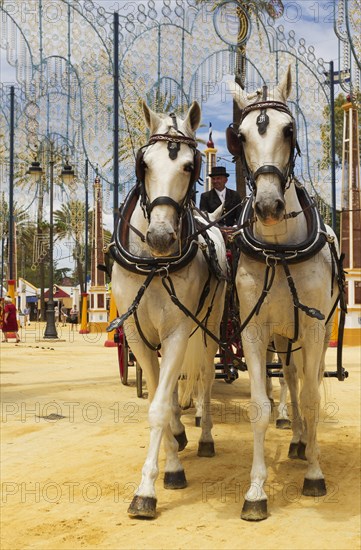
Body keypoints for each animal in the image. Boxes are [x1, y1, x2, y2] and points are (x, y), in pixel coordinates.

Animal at [110, 101, 225, 520]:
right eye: (144, 164)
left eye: (190, 166)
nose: (160, 237)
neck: (155, 263)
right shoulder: (136, 335)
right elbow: (159, 397)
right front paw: (172, 458)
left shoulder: (177, 332)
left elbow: (160, 407)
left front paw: (148, 489)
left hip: (207, 327)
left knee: (205, 378)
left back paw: (204, 435)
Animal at [228, 64, 344, 520]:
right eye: (239, 136)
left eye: (289, 129)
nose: (268, 206)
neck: (278, 248)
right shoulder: (254, 331)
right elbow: (262, 405)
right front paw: (256, 492)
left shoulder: (311, 329)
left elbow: (311, 399)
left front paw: (314, 473)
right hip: (282, 336)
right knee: (291, 379)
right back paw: (295, 438)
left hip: (316, 332)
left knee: (306, 381)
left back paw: (304, 443)